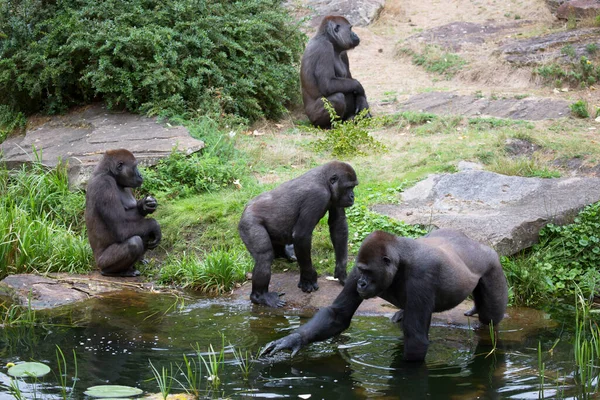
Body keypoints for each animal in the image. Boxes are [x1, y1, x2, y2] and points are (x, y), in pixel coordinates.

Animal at [84, 148, 163, 276]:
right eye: (135, 167)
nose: (140, 175)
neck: (108, 173)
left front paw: (144, 206)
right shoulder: (105, 185)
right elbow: (121, 228)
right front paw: (154, 225)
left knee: (144, 232)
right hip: (101, 262)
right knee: (134, 242)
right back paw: (114, 272)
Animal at [238, 161, 360, 308]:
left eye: (353, 187)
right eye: (348, 187)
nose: (352, 196)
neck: (325, 181)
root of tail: (245, 209)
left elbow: (338, 225)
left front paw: (342, 272)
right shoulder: (317, 195)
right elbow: (302, 235)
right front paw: (308, 279)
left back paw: (287, 253)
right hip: (248, 222)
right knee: (264, 257)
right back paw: (260, 296)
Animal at [262, 228, 506, 362]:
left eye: (368, 273)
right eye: (361, 271)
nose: (361, 283)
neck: (400, 261)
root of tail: (475, 242)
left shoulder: (422, 275)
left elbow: (416, 340)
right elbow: (338, 315)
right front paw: (292, 340)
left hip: (492, 265)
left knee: (490, 318)